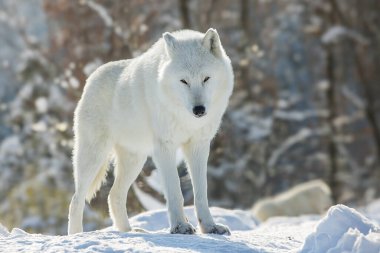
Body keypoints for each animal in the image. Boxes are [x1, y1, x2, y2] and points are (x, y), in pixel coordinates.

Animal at [68, 28, 235, 235]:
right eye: (184, 81)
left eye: (206, 78)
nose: (199, 110)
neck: (185, 118)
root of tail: (90, 78)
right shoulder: (165, 148)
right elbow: (175, 192)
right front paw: (180, 226)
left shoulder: (199, 145)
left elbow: (201, 194)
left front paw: (210, 227)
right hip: (93, 157)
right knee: (76, 199)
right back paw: (76, 235)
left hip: (135, 160)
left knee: (114, 195)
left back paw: (129, 232)